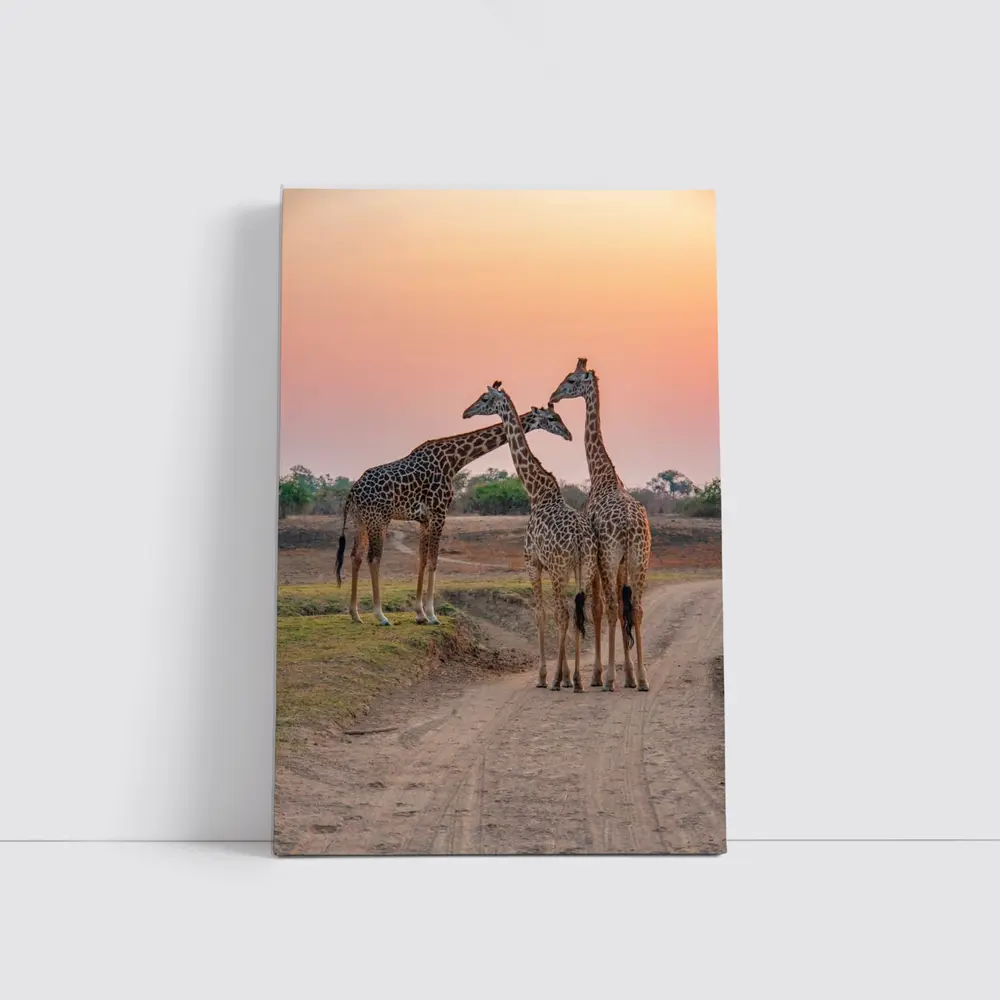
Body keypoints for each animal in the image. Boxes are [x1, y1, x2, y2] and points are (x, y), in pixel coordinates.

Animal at [335, 405, 572, 626]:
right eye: (552, 418)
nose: (568, 434)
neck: (454, 460)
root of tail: (353, 492)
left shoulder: (425, 519)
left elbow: (422, 560)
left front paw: (420, 614)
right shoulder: (440, 512)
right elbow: (433, 561)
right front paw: (432, 615)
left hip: (361, 521)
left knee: (355, 556)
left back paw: (355, 614)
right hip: (379, 520)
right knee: (373, 558)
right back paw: (381, 616)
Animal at [462, 382, 603, 692]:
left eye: (485, 398)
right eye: (553, 417)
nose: (467, 412)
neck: (536, 492)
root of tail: (580, 539)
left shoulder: (533, 562)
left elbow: (541, 614)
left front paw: (545, 676)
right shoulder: (555, 567)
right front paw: (565, 675)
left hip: (562, 567)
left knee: (563, 614)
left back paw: (558, 680)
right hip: (584, 567)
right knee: (579, 611)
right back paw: (578, 680)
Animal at [549, 358, 652, 692]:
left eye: (571, 380)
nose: (553, 395)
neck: (602, 475)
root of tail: (630, 525)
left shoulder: (597, 556)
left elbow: (596, 609)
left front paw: (597, 674)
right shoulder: (619, 562)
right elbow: (624, 607)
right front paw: (629, 674)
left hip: (609, 556)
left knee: (609, 608)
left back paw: (607, 679)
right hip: (640, 557)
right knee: (635, 608)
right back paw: (642, 678)